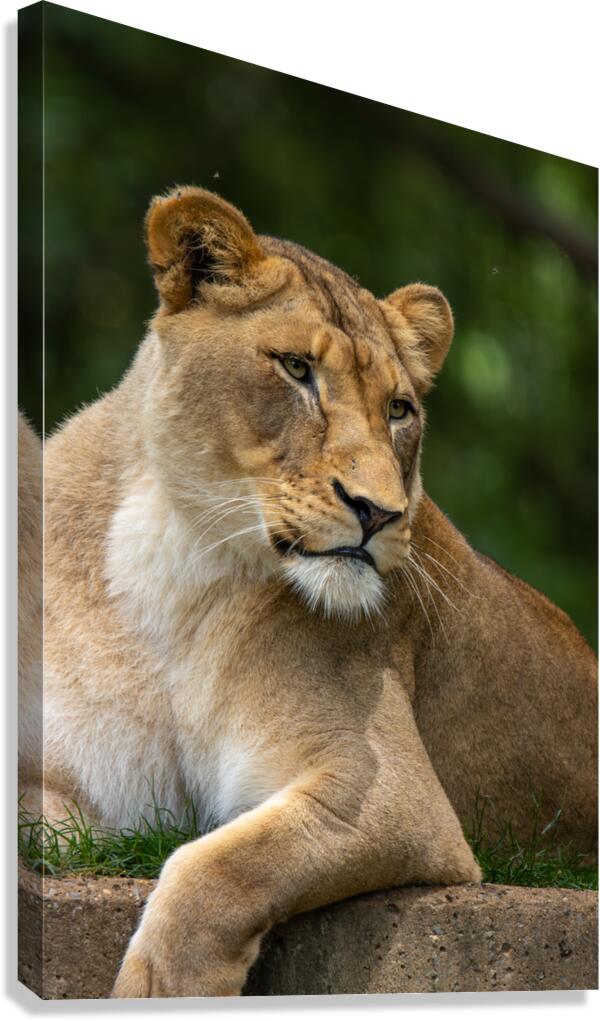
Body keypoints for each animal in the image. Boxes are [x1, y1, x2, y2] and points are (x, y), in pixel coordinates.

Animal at [19, 187, 596, 998]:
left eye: (399, 409)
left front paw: (159, 990)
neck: (171, 554)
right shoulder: (80, 784)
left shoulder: (393, 797)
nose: (380, 512)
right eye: (296, 369)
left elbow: (214, 867)